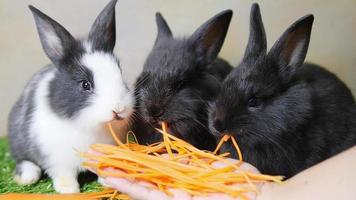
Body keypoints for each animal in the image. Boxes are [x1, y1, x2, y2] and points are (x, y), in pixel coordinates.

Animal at [8, 0, 134, 194]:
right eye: (85, 84)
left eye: (120, 75)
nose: (118, 109)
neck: (89, 125)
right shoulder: (57, 159)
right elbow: (64, 174)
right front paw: (69, 190)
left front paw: (106, 181)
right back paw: (26, 177)